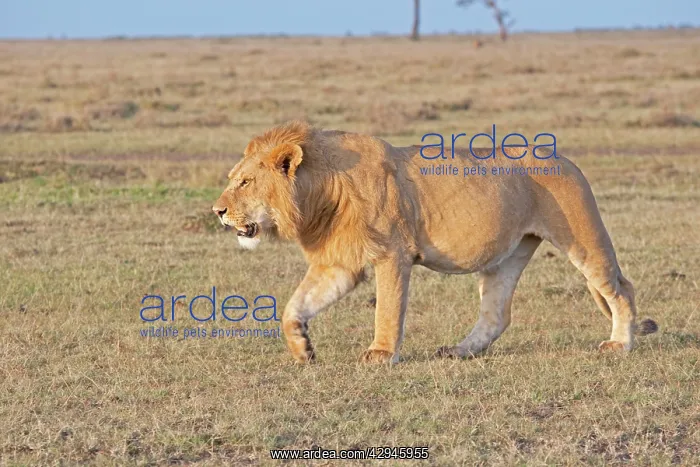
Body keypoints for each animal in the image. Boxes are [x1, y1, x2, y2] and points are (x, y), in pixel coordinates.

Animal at [212, 120, 658, 364]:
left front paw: (381, 354)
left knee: (620, 288)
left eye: (245, 182)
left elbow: (389, 309)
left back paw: (620, 344)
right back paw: (460, 351)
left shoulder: (392, 253)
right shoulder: (339, 263)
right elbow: (295, 306)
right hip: (507, 255)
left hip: (582, 237)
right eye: (234, 178)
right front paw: (302, 348)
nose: (217, 211)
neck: (319, 191)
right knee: (496, 314)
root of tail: (566, 159)